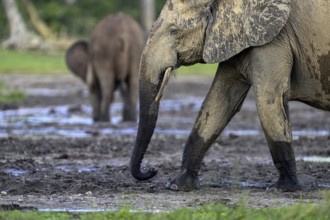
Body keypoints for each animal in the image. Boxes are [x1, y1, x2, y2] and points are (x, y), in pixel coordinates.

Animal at [130, 0, 330, 192]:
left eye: (174, 31)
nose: (152, 170)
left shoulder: (274, 39)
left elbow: (268, 99)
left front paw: (282, 189)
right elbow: (219, 100)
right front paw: (177, 185)